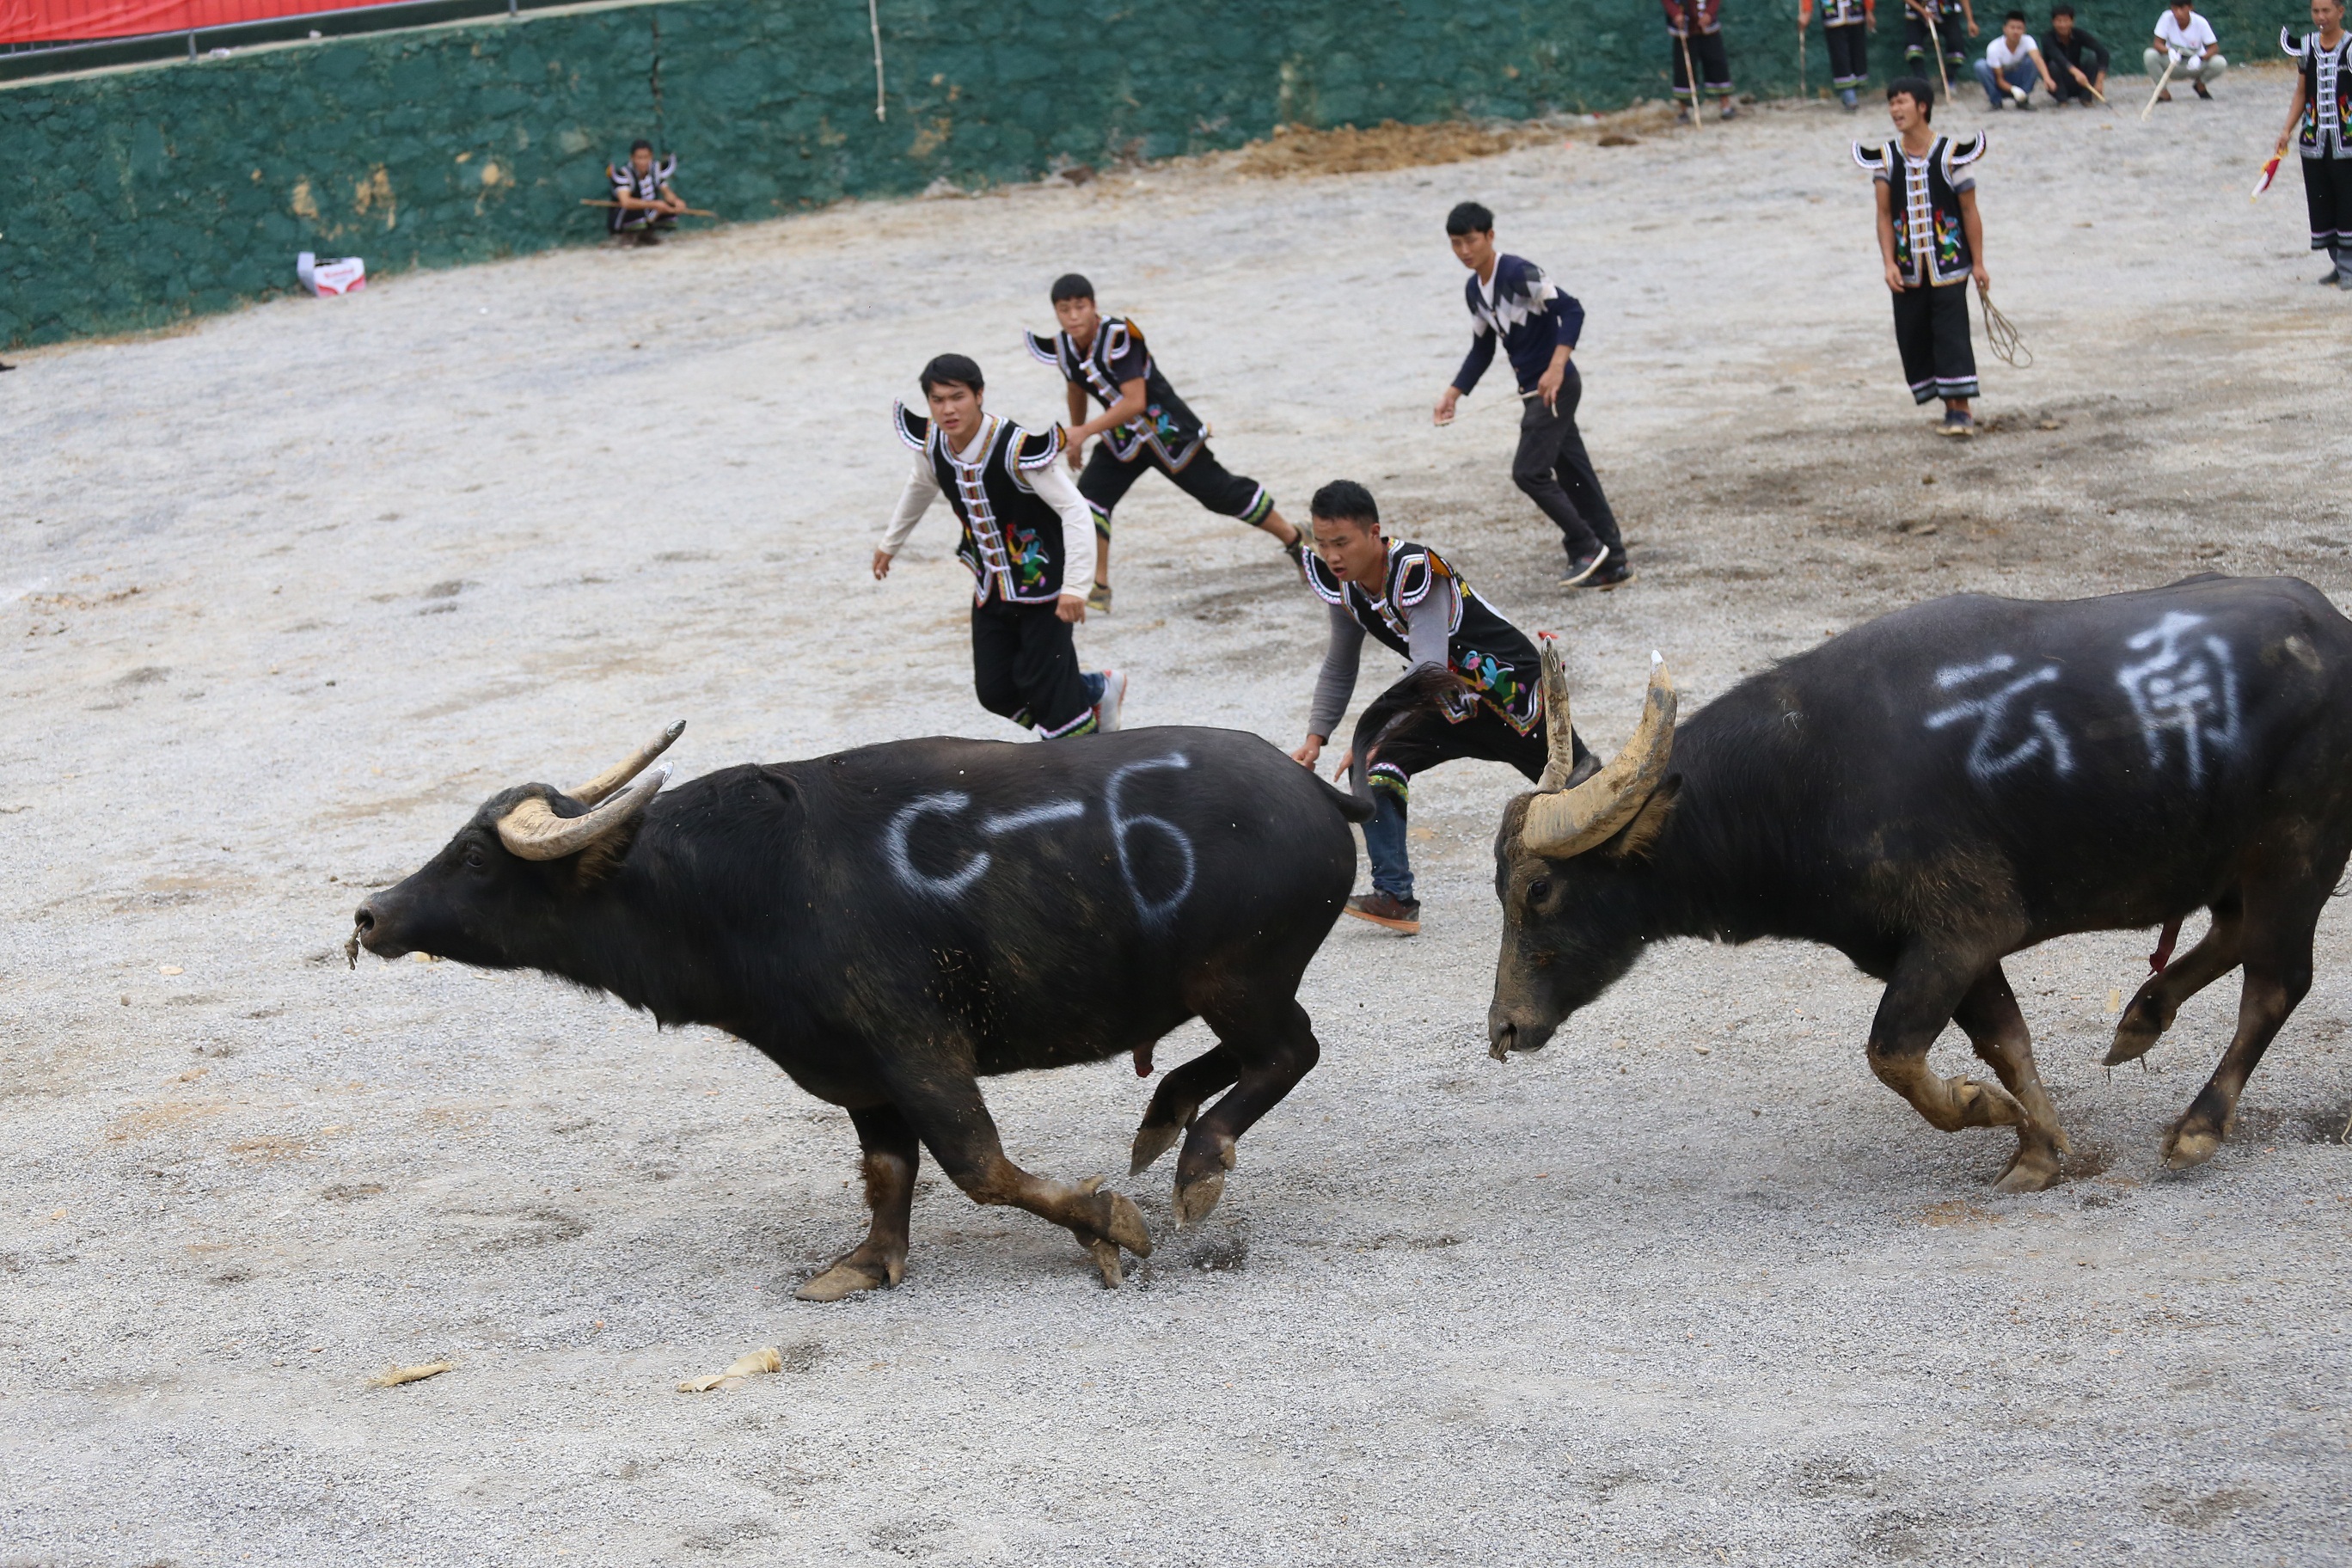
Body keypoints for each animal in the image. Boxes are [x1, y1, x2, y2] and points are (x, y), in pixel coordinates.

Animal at [355, 724, 1373, 1297]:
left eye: (477, 859)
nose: (371, 915)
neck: (732, 884)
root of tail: (1316, 788)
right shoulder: (862, 1076)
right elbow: (888, 1173)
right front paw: (864, 1264)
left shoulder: (918, 1053)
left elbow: (981, 1170)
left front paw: (1108, 1226)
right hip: (1228, 988)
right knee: (1250, 1057)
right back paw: (1165, 1120)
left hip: (1240, 981)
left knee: (1289, 1054)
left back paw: (1197, 1166)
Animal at [1486, 575, 2352, 1189]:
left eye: (1539, 890)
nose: (1505, 1028)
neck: (1805, 773)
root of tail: (2335, 628)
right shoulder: (1942, 950)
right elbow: (2005, 1040)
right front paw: (2038, 1147)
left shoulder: (1956, 936)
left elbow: (1892, 1052)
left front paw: (1983, 1109)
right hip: (2232, 865)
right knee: (2232, 936)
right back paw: (2141, 1017)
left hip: (2295, 859)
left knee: (2275, 984)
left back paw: (2199, 1126)